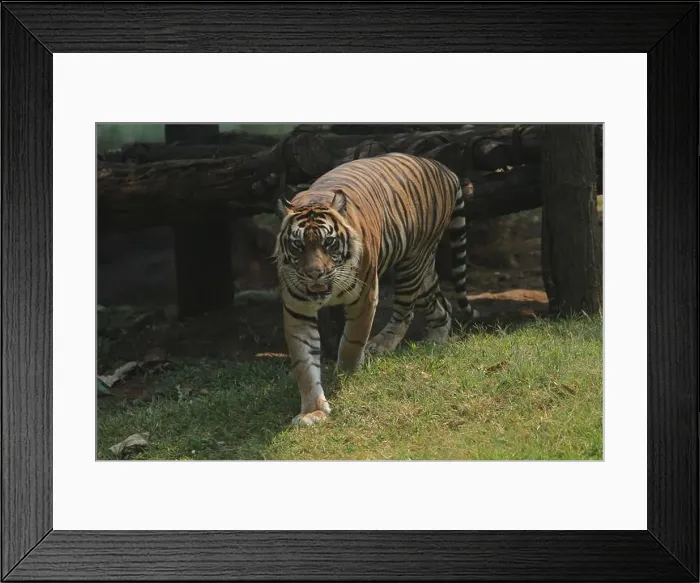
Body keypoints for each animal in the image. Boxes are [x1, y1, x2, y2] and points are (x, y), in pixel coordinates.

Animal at [274, 152, 479, 426]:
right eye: (298, 246)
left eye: (329, 243)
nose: (314, 273)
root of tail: (443, 168)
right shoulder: (297, 310)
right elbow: (304, 362)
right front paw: (312, 412)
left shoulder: (364, 296)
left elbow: (352, 341)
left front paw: (346, 374)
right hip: (424, 268)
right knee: (442, 307)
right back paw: (434, 342)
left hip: (411, 263)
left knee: (405, 311)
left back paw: (381, 345)